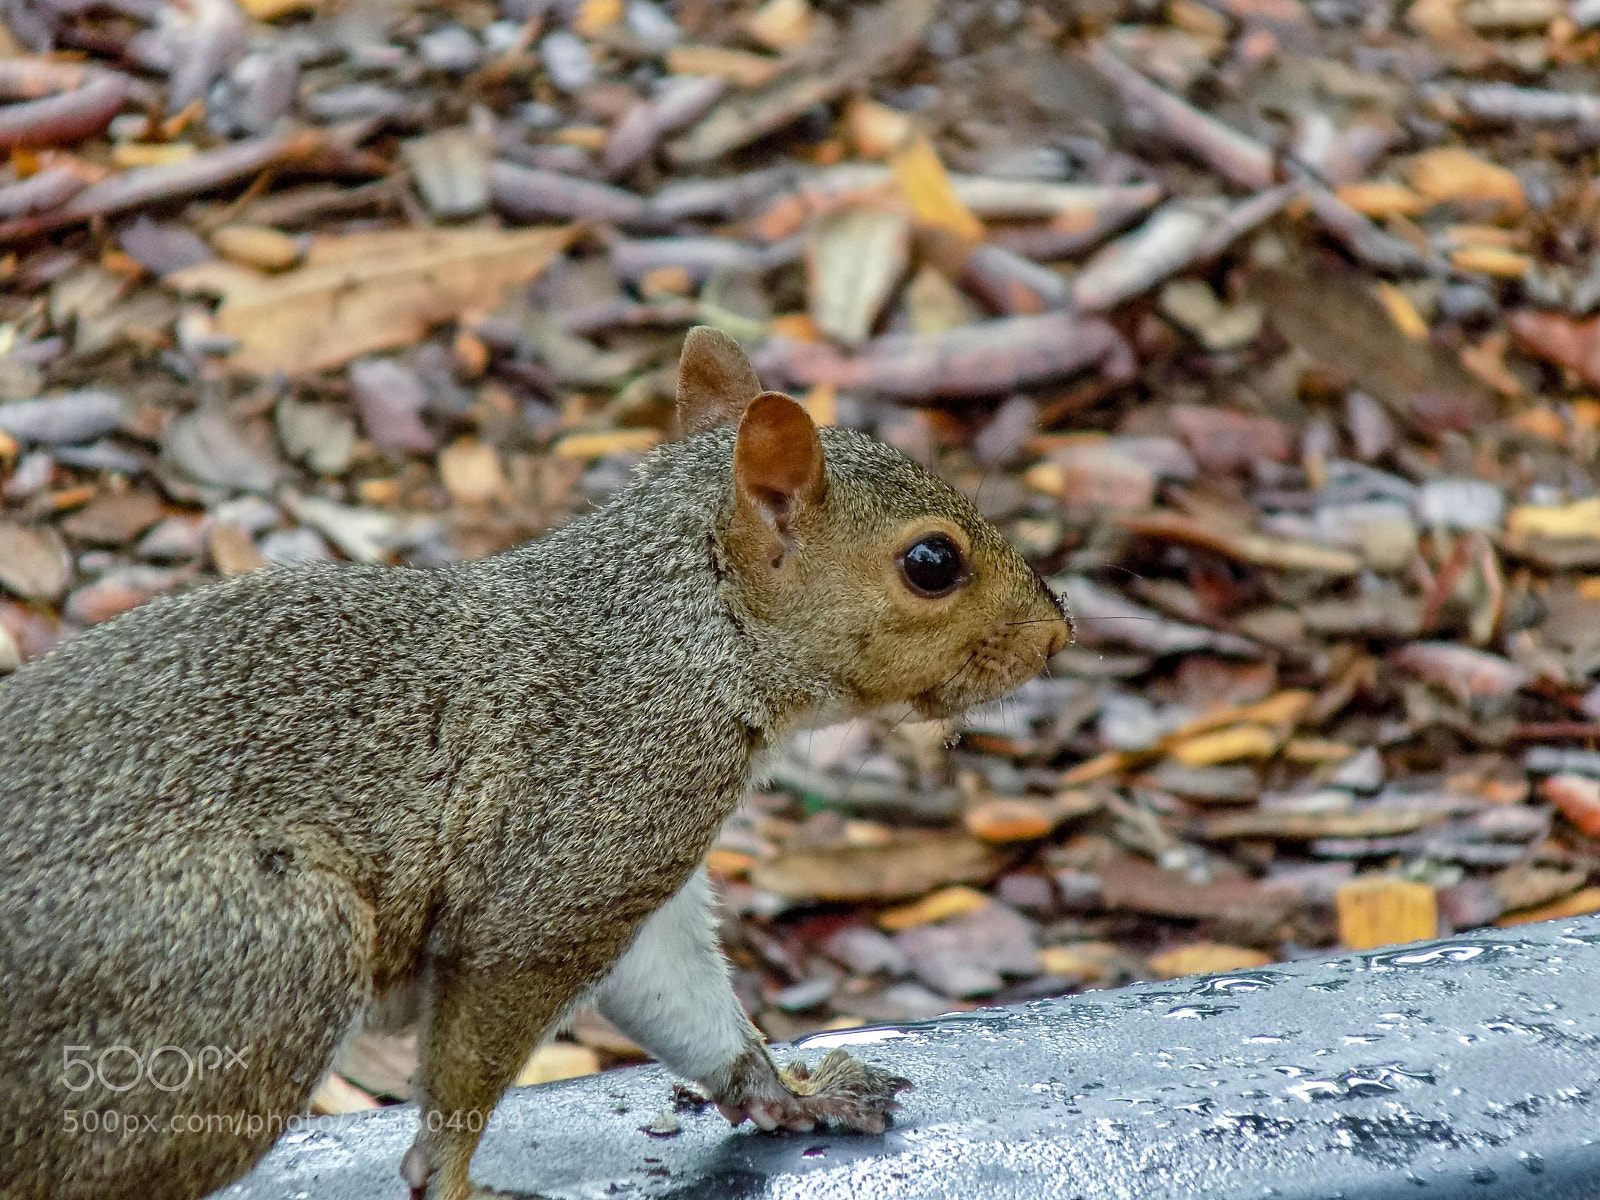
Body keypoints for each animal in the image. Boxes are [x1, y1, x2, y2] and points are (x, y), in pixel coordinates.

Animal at [0, 328, 1072, 1200]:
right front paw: (454, 1180)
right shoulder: (562, 873)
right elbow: (472, 1060)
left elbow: (683, 1001)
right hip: (246, 964)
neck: (672, 638)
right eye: (932, 564)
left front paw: (793, 1093)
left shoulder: (637, 885)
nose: (1059, 635)